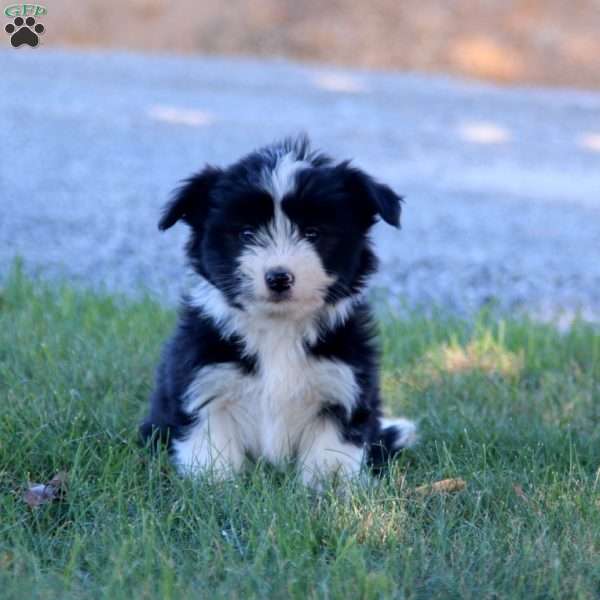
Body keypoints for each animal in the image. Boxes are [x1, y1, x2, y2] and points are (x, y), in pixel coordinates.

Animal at [141, 138, 414, 490]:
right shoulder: (204, 383)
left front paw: (329, 491)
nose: (279, 277)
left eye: (313, 233)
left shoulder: (342, 386)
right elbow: (210, 448)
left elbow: (331, 454)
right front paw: (215, 488)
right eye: (246, 234)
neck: (278, 329)